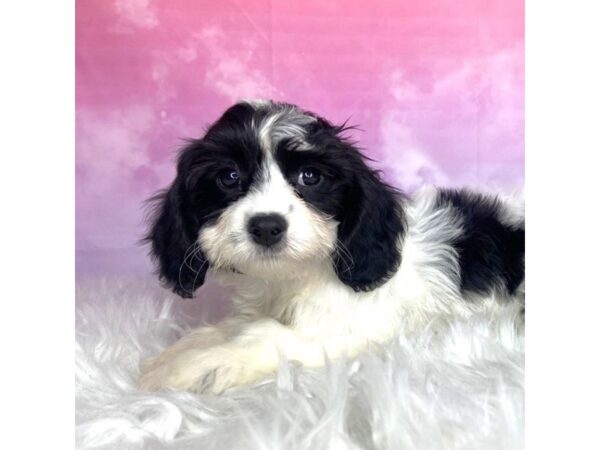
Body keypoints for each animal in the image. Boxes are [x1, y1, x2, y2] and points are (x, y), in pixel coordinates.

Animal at [138, 99, 524, 394]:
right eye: (229, 177)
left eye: (310, 177)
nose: (267, 226)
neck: (292, 281)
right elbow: (234, 326)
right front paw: (182, 350)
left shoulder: (353, 331)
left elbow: (267, 336)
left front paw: (201, 364)